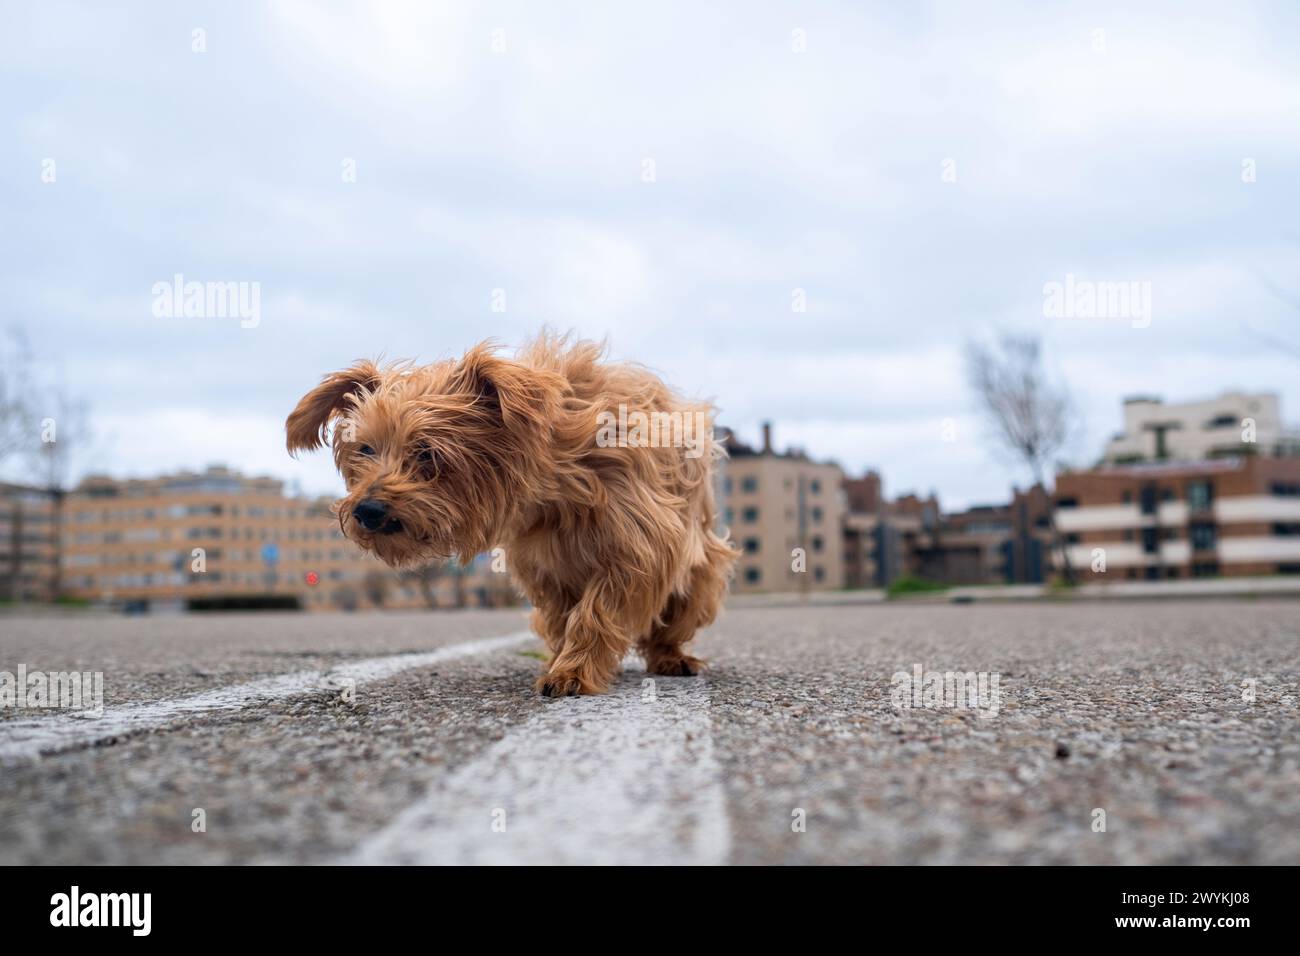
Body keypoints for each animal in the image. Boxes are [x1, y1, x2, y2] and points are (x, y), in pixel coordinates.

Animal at [286, 335, 738, 697]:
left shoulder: (636, 551)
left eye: (428, 452)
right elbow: (563, 615)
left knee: (673, 620)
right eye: (365, 449)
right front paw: (563, 660)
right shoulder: (544, 568)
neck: (559, 480)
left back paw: (670, 657)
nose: (367, 509)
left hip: (701, 576)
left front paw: (574, 671)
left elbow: (596, 612)